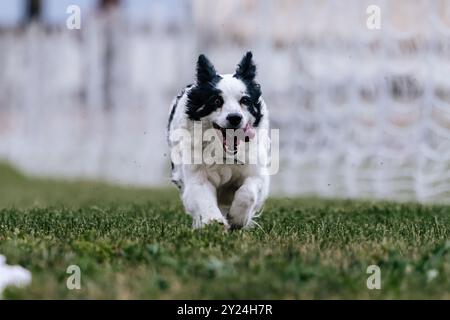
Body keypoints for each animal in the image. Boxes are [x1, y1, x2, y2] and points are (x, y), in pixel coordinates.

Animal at [167, 52, 268, 228]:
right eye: (216, 101)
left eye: (245, 100)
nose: (234, 118)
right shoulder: (196, 175)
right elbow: (203, 197)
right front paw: (214, 222)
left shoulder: (256, 172)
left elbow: (248, 192)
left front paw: (237, 218)